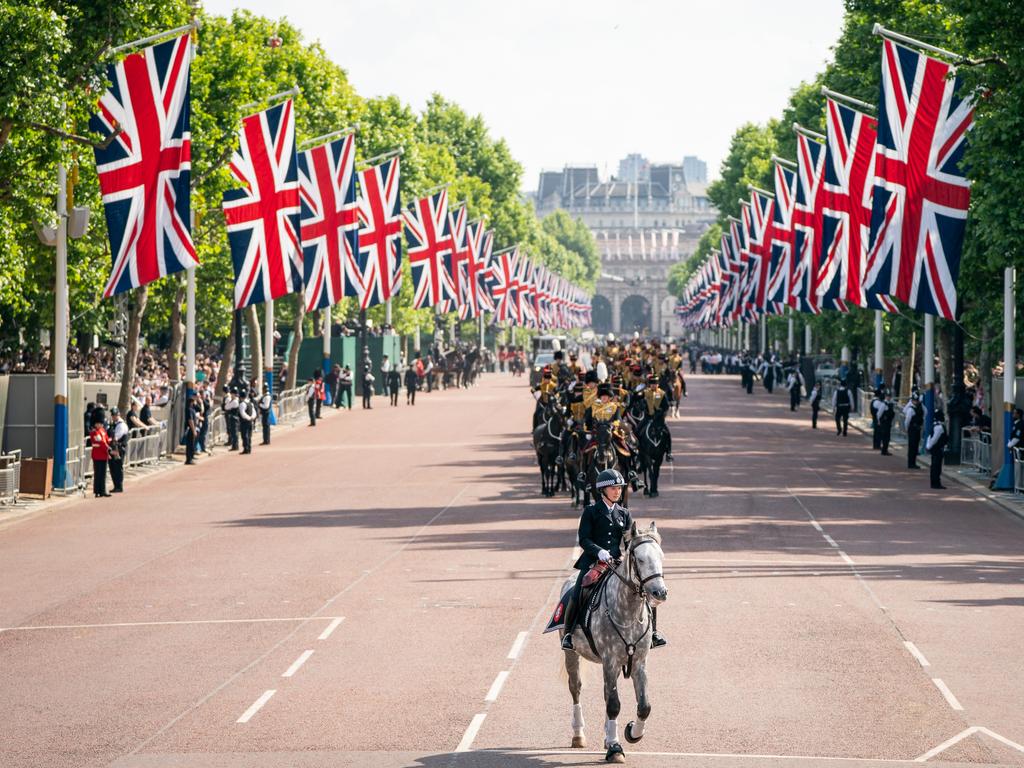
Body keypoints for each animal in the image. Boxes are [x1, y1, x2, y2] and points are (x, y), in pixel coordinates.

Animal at [557, 524, 667, 765]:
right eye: (640, 559)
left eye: (661, 557)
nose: (660, 592)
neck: (628, 611)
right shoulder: (610, 660)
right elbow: (614, 704)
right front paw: (616, 747)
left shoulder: (639, 662)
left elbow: (644, 706)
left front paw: (631, 733)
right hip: (572, 654)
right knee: (576, 688)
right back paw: (579, 734)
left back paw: (608, 737)